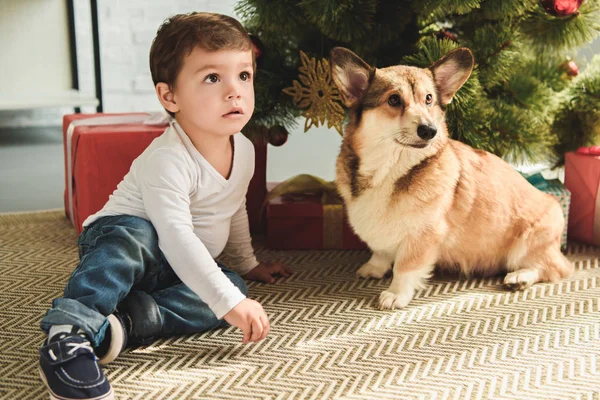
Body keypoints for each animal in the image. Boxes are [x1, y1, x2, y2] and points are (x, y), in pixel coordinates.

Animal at [330, 46, 576, 310]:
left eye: (428, 99)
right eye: (393, 100)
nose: (429, 130)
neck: (390, 168)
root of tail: (553, 202)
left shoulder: (423, 235)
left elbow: (405, 267)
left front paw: (396, 294)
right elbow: (380, 250)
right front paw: (374, 268)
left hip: (528, 243)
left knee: (555, 268)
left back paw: (519, 278)